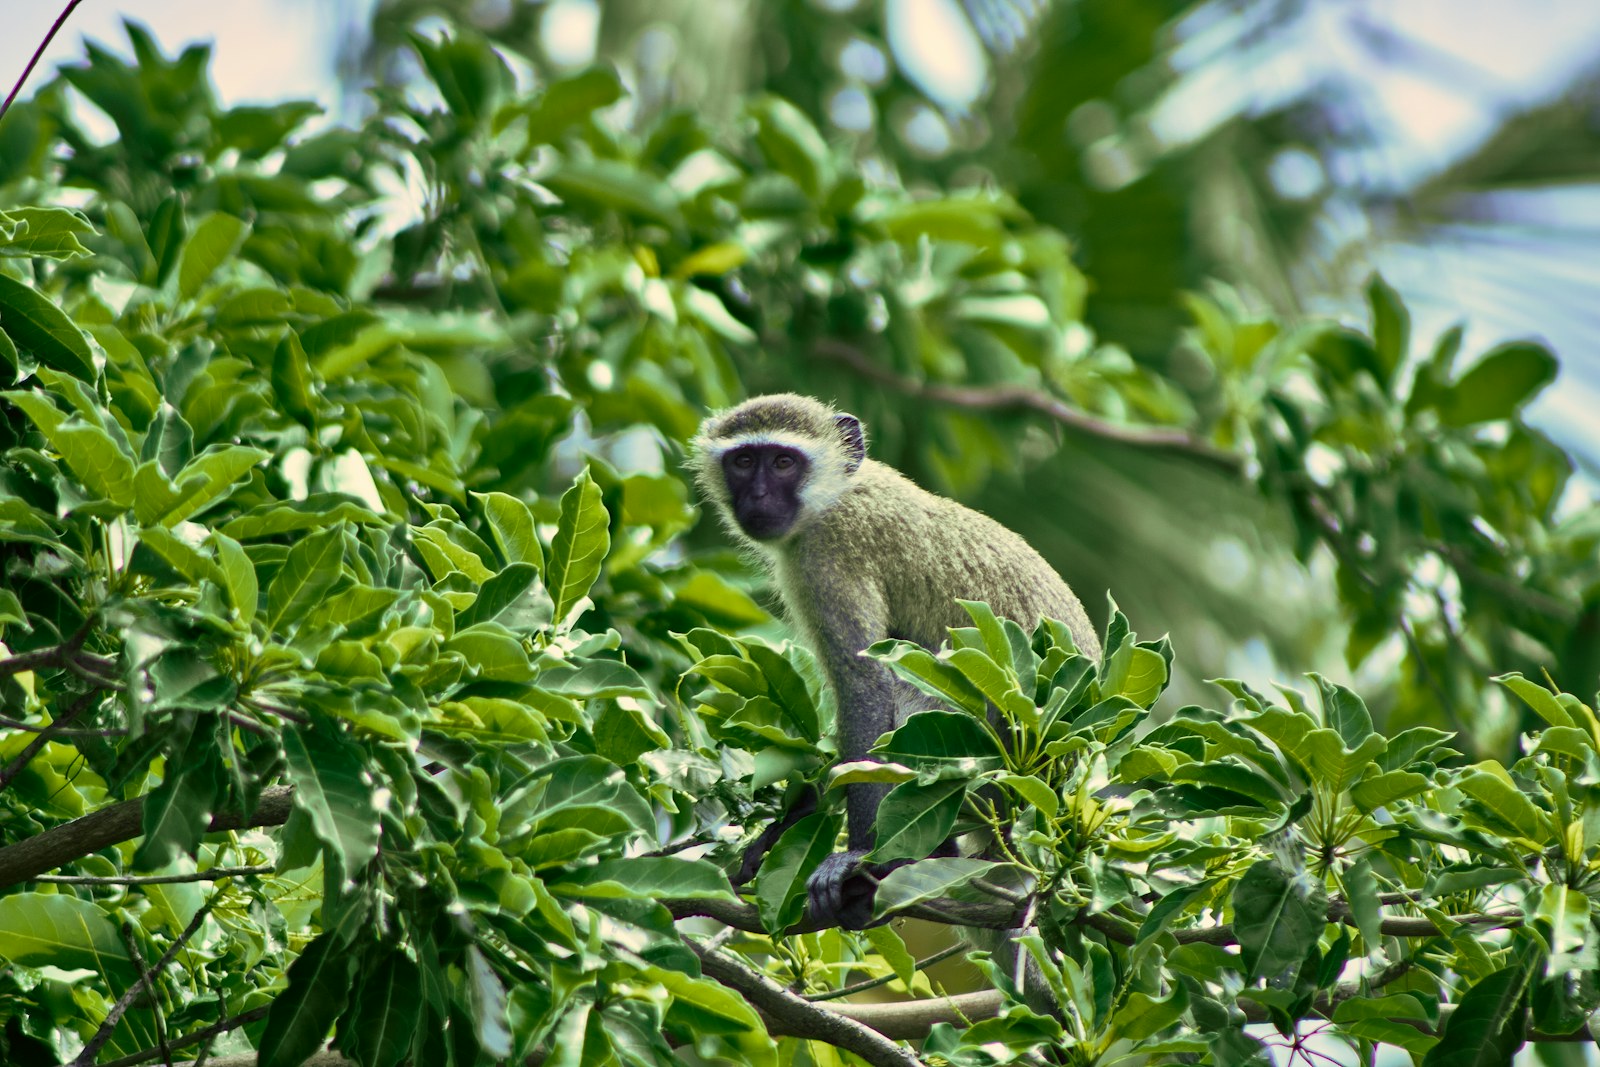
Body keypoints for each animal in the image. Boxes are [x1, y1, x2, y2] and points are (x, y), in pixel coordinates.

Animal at [690, 394, 1102, 929]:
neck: (837, 492)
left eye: (783, 462)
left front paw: (862, 858)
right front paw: (784, 828)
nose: (757, 496)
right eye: (742, 462)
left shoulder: (829, 554)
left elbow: (865, 687)